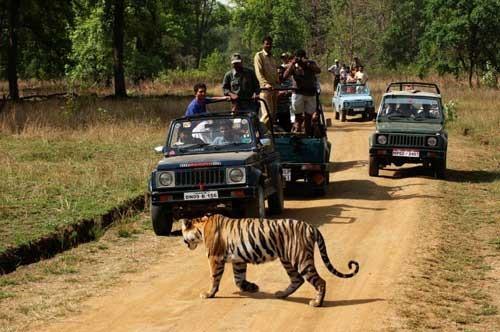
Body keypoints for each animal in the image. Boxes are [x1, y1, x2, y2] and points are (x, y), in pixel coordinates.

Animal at [180, 214, 360, 308]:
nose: (184, 242)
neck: (201, 227)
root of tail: (311, 226)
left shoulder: (215, 258)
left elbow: (214, 278)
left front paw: (209, 294)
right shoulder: (238, 260)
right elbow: (238, 278)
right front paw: (251, 287)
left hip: (301, 259)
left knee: (320, 281)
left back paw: (316, 302)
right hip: (287, 259)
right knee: (297, 280)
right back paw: (281, 294)